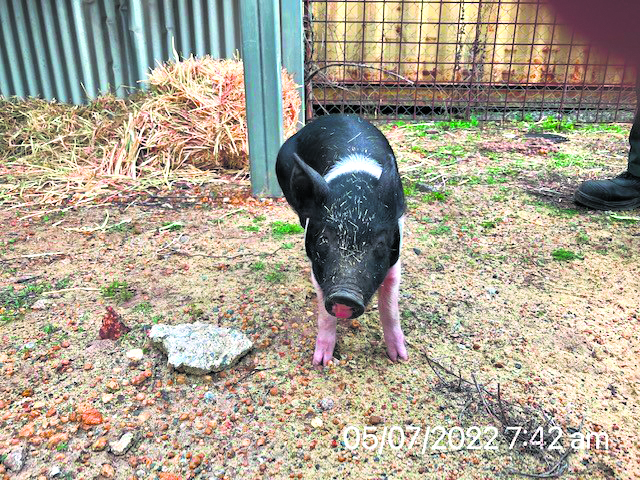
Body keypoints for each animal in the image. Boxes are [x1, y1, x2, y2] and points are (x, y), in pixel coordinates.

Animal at [275, 114, 407, 366]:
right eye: (324, 240)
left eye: (380, 244)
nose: (345, 295)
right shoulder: (318, 268)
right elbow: (325, 315)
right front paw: (321, 362)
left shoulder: (395, 259)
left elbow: (390, 308)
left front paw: (400, 358)